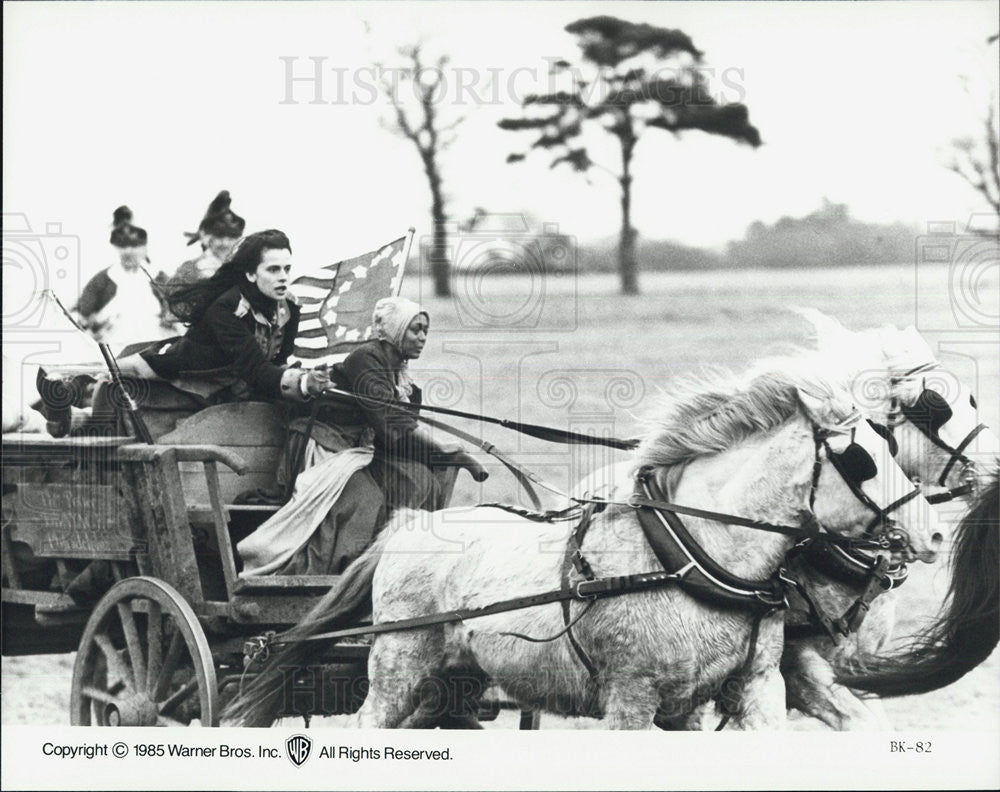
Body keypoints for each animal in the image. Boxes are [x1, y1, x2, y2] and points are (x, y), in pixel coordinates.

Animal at [229, 358, 944, 732]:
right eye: (862, 460)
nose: (933, 534)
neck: (691, 556)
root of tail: (405, 526)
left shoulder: (747, 691)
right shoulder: (631, 698)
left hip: (453, 684)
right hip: (398, 671)